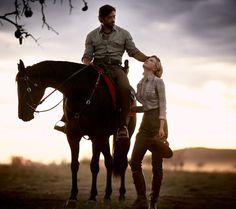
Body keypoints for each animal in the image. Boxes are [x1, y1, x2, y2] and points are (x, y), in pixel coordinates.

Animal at [15, 59, 136, 202]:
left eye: (25, 86)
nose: (22, 115)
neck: (81, 91)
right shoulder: (73, 136)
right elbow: (74, 165)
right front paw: (73, 196)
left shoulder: (96, 135)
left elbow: (94, 166)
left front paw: (92, 197)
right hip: (105, 138)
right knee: (109, 162)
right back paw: (107, 195)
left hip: (123, 137)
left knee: (122, 162)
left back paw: (121, 194)